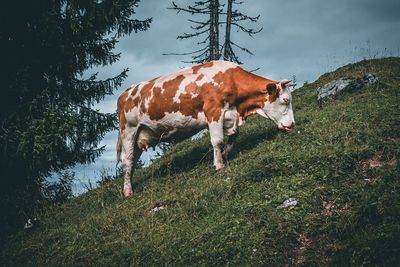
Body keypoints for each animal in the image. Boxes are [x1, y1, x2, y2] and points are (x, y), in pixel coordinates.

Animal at [115, 61, 294, 199]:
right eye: (285, 100)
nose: (292, 125)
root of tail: (126, 92)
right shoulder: (213, 111)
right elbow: (217, 140)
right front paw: (219, 165)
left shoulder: (230, 116)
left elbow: (234, 135)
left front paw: (225, 154)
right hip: (129, 130)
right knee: (127, 161)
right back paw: (128, 191)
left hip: (141, 136)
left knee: (132, 162)